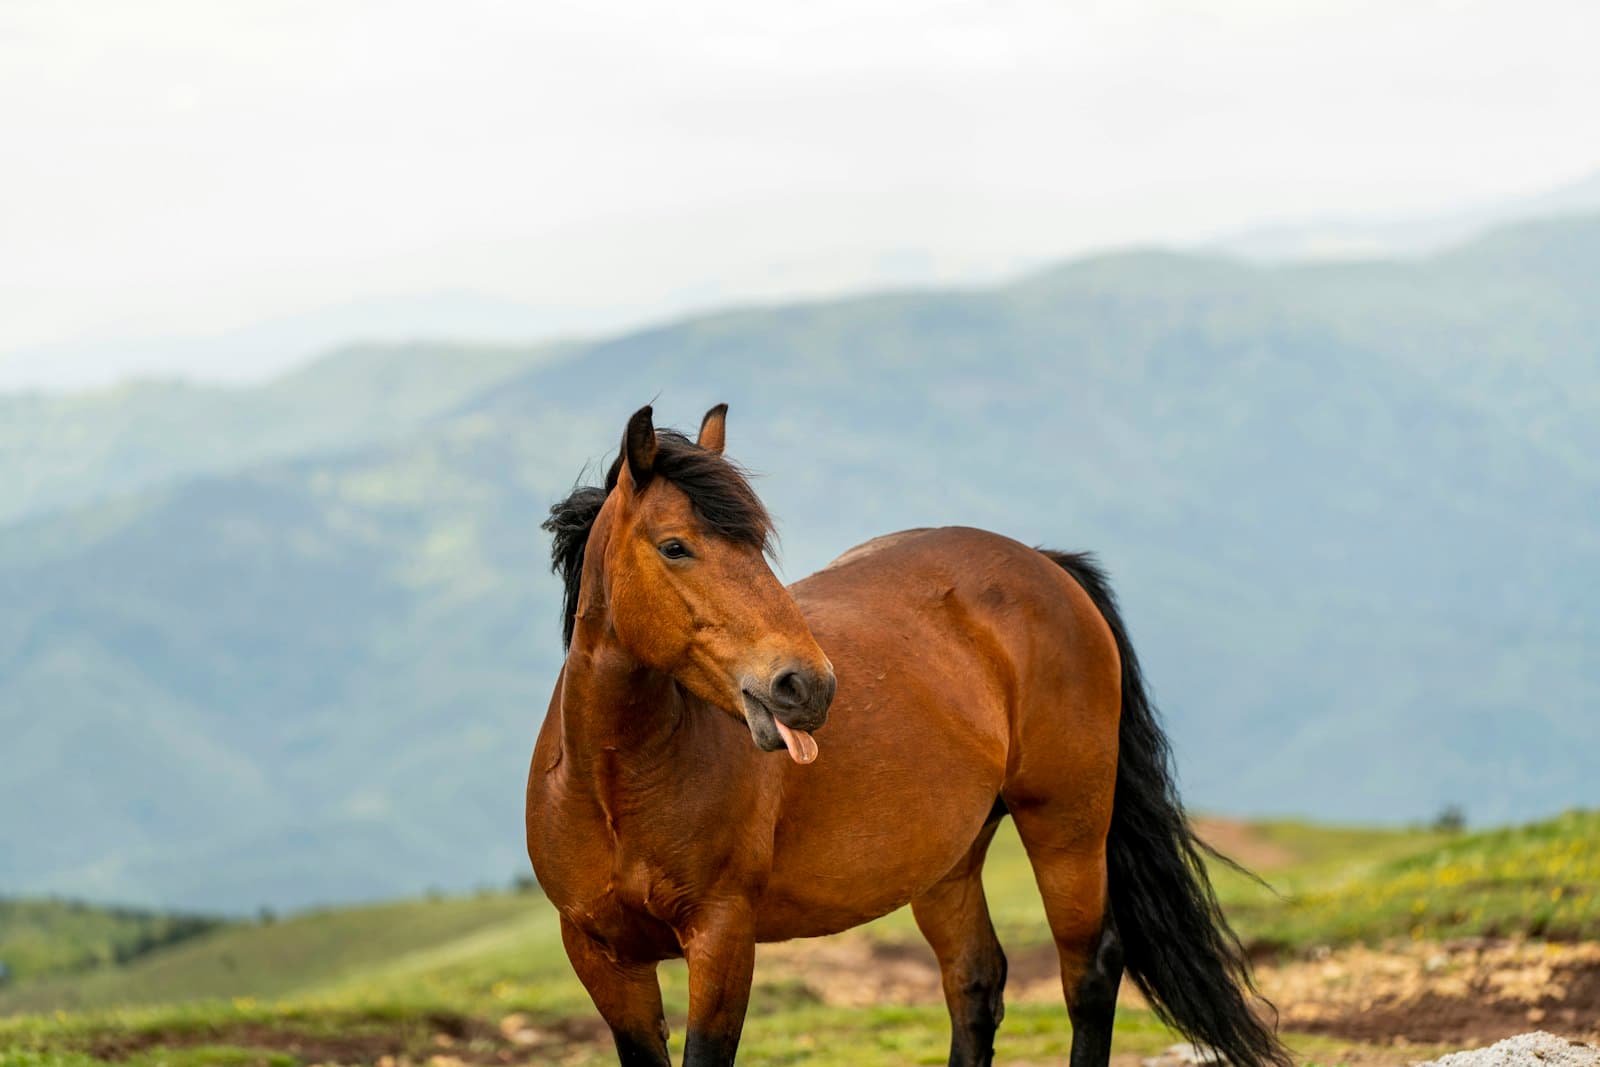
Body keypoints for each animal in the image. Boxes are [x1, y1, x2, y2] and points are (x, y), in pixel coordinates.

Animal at [525, 404, 1289, 1067]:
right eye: (675, 547)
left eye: (757, 545)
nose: (806, 686)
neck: (619, 788)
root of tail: (1045, 564)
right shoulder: (602, 956)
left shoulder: (721, 938)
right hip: (950, 859)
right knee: (975, 983)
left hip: (1067, 828)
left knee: (1090, 971)